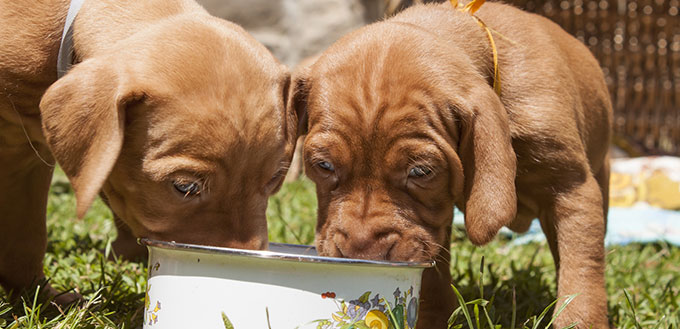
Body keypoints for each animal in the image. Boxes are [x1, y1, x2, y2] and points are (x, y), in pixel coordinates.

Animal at [290, 1, 612, 326]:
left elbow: (582, 265)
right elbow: (432, 274)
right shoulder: (431, 225)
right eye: (324, 166)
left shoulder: (572, 189)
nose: (361, 250)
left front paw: (580, 320)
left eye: (420, 171)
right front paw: (431, 319)